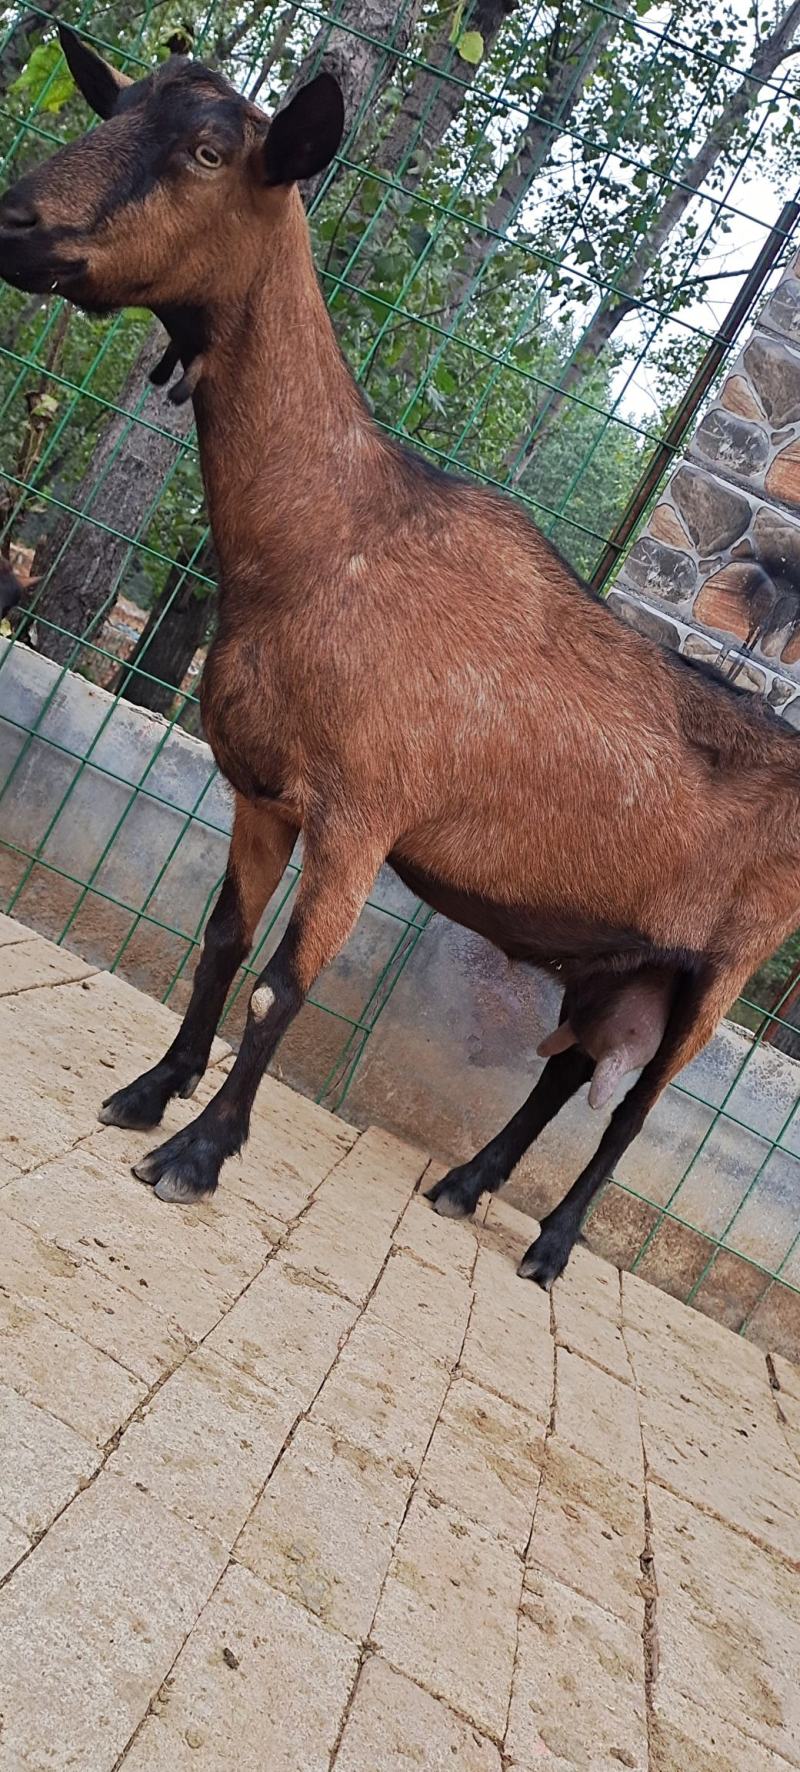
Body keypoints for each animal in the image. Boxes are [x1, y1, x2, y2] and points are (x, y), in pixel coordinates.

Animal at [0, 27, 798, 1291]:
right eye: (112, 106)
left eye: (209, 150)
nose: (15, 223)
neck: (330, 536)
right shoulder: (261, 787)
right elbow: (221, 945)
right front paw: (148, 1092)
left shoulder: (360, 811)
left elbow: (281, 985)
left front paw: (198, 1153)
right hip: (617, 954)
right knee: (569, 1063)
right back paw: (465, 1184)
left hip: (718, 972)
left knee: (632, 1110)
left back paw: (551, 1246)